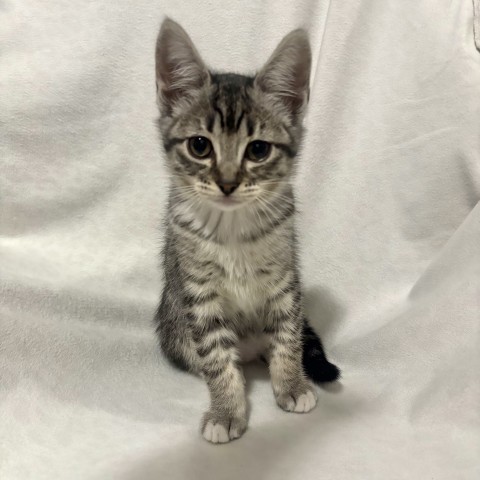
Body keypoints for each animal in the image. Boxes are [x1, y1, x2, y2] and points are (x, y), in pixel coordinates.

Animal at [154, 16, 338, 444]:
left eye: (257, 150)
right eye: (200, 146)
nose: (226, 183)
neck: (232, 227)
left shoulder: (285, 279)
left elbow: (287, 334)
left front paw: (291, 383)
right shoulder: (198, 292)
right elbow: (217, 358)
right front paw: (226, 409)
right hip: (174, 329)